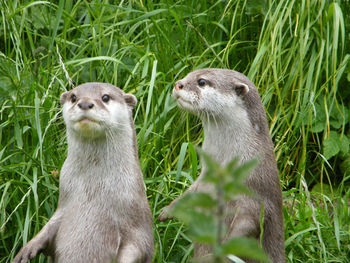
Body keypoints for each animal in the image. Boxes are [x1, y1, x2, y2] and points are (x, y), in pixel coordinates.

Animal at [13, 83, 153, 263]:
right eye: (74, 97)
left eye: (105, 97)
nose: (85, 103)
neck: (94, 189)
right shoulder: (63, 207)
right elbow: (50, 227)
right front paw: (27, 249)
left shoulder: (138, 222)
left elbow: (138, 247)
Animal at [159, 69, 284, 263]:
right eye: (189, 74)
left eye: (202, 82)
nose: (178, 84)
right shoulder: (203, 180)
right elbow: (189, 194)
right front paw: (167, 210)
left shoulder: (254, 195)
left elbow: (250, 224)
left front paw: (222, 249)